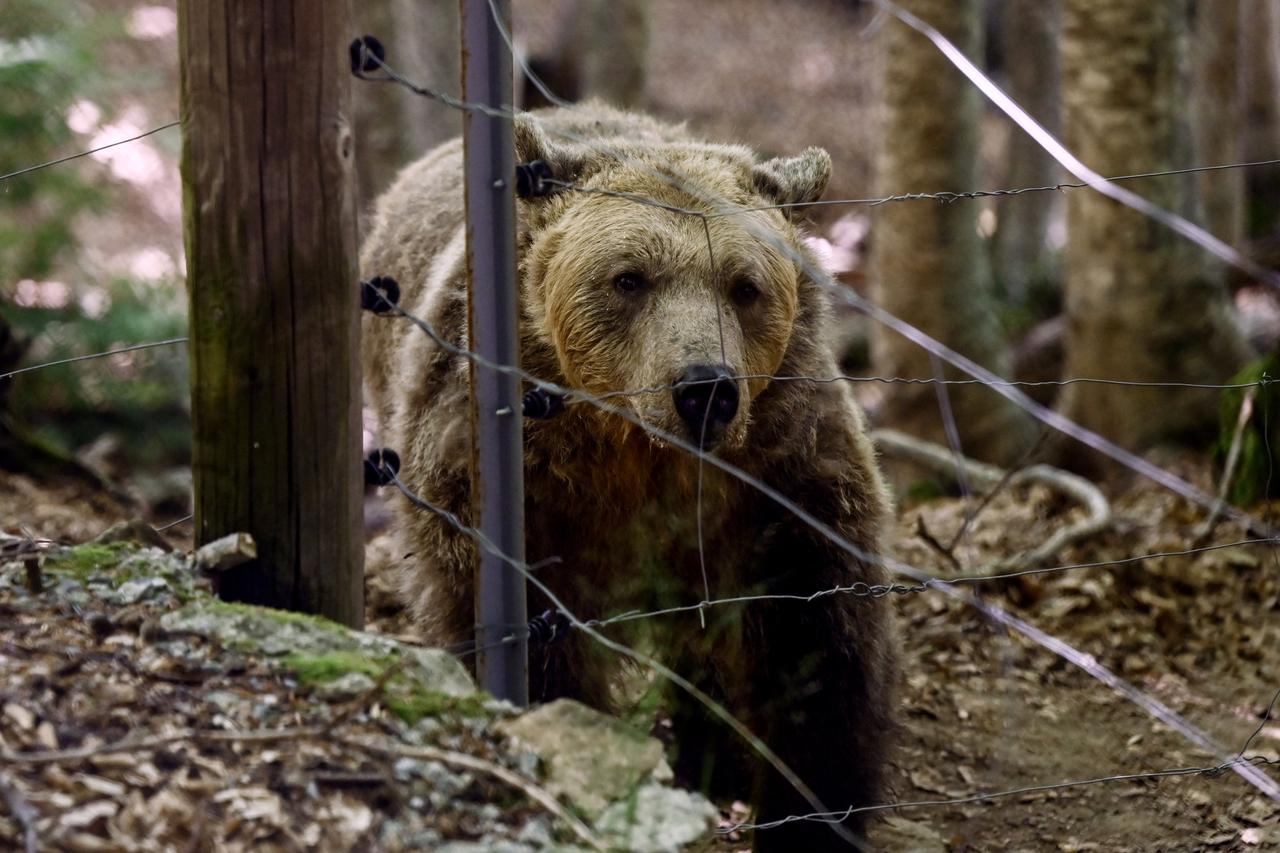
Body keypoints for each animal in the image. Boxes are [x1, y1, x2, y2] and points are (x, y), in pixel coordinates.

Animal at [361, 103, 898, 851]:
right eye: (629, 278)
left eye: (745, 285)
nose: (705, 388)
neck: (636, 452)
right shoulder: (517, 482)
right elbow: (529, 622)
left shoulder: (778, 472)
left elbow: (816, 631)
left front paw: (812, 808)